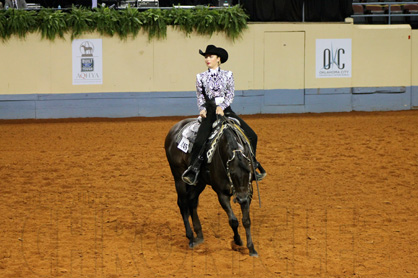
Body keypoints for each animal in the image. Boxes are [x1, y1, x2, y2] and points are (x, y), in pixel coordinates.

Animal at [164, 116, 258, 258]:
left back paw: (199, 235)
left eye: (249, 171)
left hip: (199, 182)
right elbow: (233, 220)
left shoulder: (247, 191)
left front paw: (251, 249)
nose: (241, 200)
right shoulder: (222, 193)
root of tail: (174, 129)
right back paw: (191, 237)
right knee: (183, 203)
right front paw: (237, 241)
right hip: (178, 176)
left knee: (192, 201)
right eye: (232, 173)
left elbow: (246, 220)